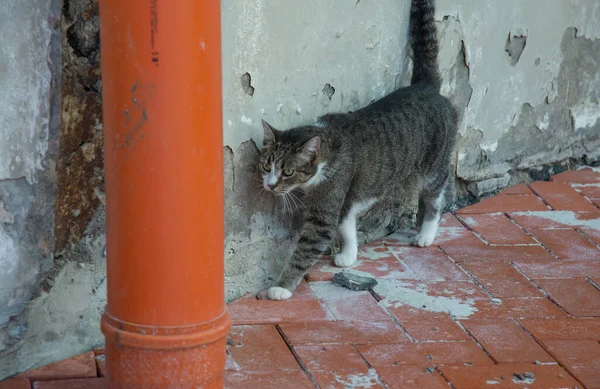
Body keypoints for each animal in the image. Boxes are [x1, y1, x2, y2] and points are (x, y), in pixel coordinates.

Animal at [258, 0, 460, 300]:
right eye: (265, 166)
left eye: (288, 171)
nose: (270, 185)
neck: (327, 147)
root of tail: (426, 86)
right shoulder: (344, 198)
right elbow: (346, 223)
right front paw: (349, 254)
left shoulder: (328, 204)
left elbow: (308, 246)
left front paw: (282, 287)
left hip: (433, 167)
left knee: (437, 197)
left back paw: (426, 233)